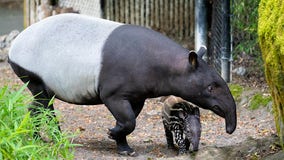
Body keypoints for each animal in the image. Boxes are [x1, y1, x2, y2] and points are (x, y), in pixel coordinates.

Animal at [7, 13, 236, 156]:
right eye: (210, 88)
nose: (229, 129)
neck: (163, 65)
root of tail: (14, 45)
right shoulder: (113, 92)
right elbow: (128, 121)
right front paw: (114, 134)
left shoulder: (138, 94)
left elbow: (129, 119)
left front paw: (122, 144)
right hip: (32, 72)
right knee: (42, 104)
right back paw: (48, 137)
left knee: (40, 105)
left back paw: (46, 136)